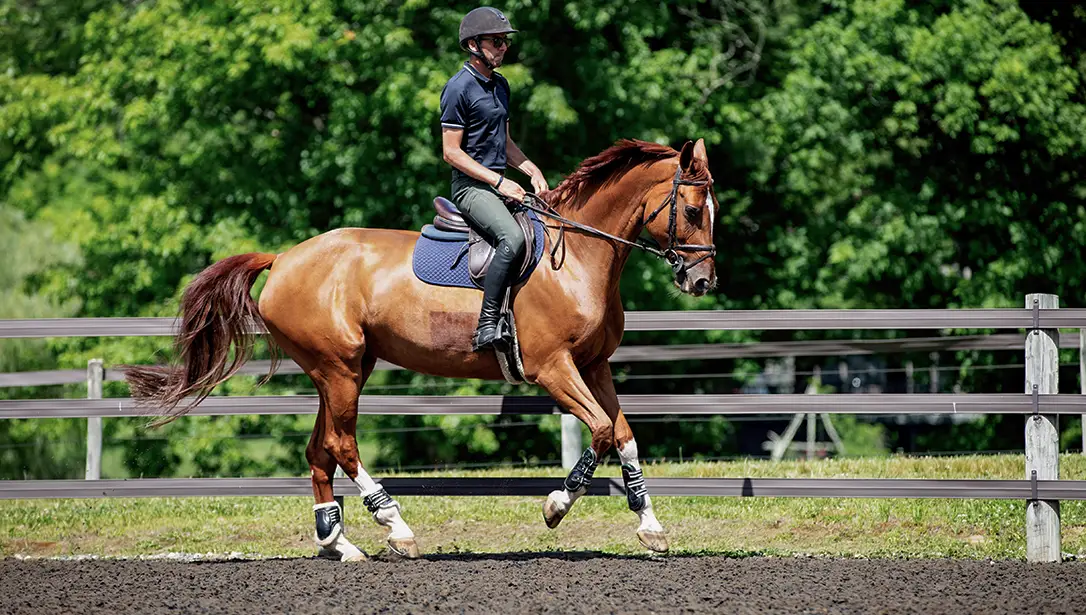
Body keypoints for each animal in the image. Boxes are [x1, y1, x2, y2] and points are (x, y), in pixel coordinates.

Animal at [124, 137, 718, 561]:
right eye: (692, 212)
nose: (702, 281)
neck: (576, 257)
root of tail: (284, 257)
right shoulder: (553, 368)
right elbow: (598, 432)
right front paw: (555, 507)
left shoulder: (594, 366)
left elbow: (624, 435)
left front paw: (651, 526)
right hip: (338, 370)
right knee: (340, 446)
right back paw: (396, 527)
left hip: (345, 370)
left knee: (319, 451)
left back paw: (340, 545)